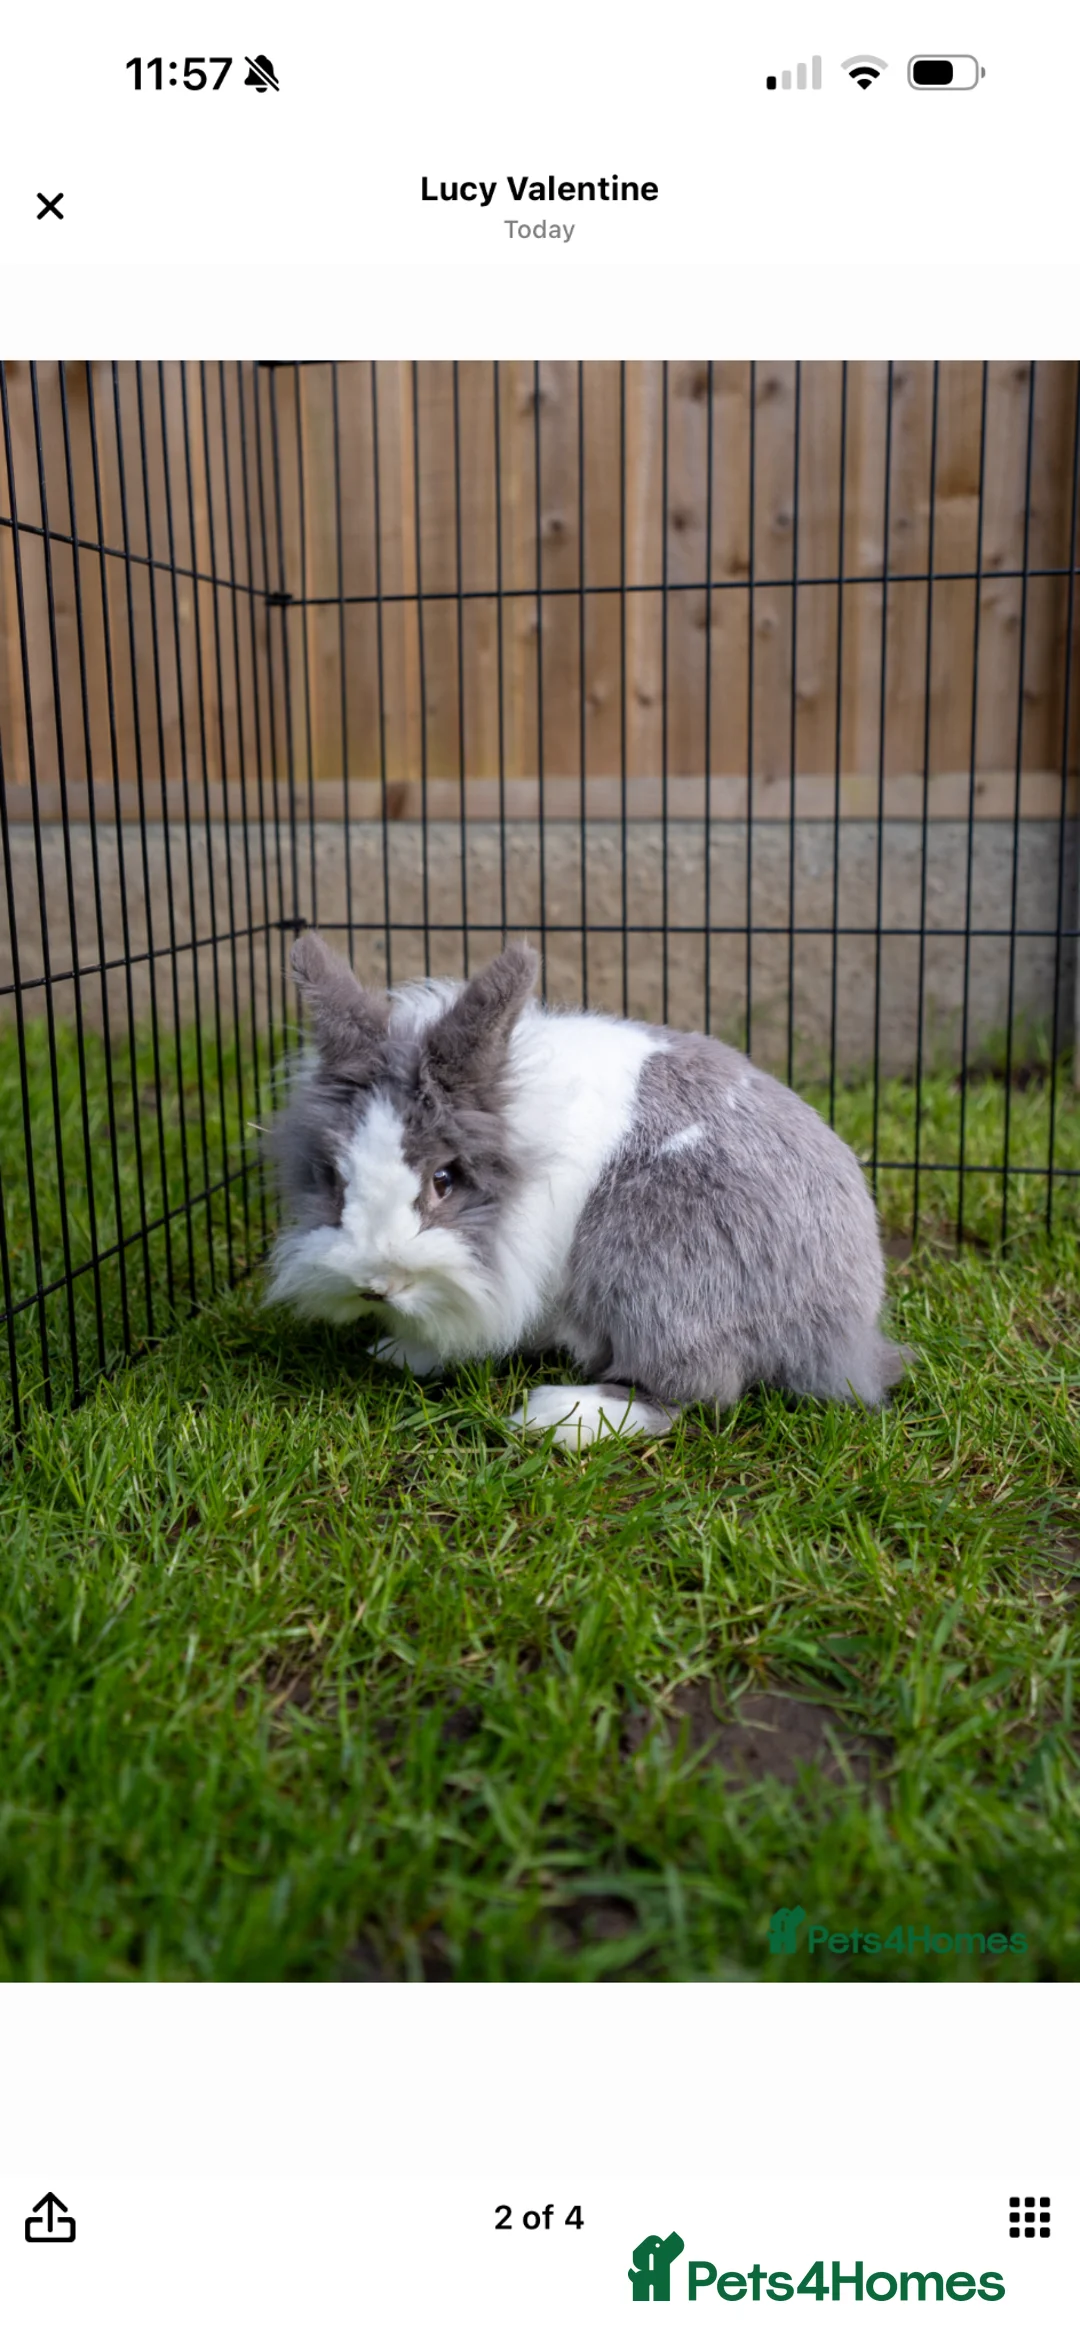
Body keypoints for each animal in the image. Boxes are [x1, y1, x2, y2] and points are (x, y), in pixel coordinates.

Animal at [264, 930, 911, 1448]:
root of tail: (845, 1331)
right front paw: (398, 1353)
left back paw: (556, 1417)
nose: (377, 1285)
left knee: (695, 1392)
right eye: (334, 1176)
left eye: (444, 1180)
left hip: (654, 1272)